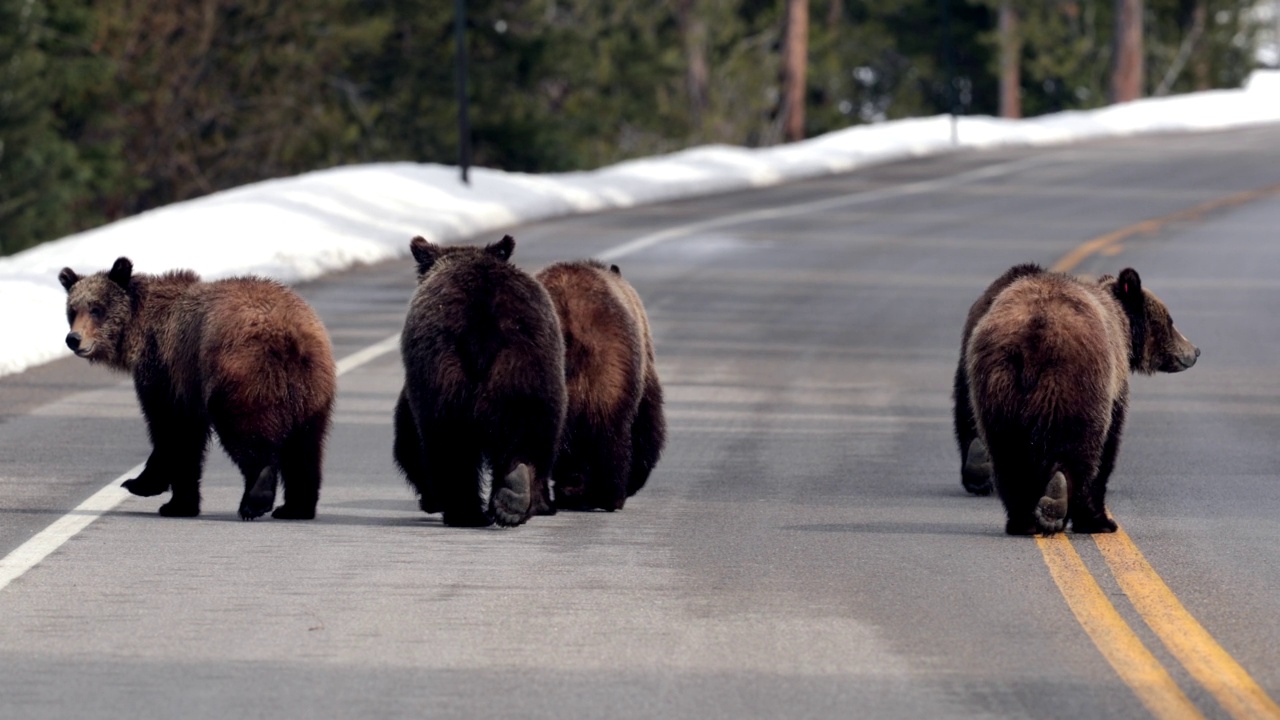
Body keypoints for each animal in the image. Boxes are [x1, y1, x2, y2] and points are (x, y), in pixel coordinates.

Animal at [58, 254, 340, 517]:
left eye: (96, 309)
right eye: (72, 310)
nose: (74, 339)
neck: (141, 330)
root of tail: (289, 335)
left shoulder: (167, 371)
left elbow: (173, 431)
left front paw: (153, 489)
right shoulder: (187, 383)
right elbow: (186, 436)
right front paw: (169, 496)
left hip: (241, 375)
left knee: (247, 432)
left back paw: (255, 499)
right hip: (312, 388)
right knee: (305, 447)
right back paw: (295, 507)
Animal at [391, 235, 568, 527]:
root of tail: (482, 327)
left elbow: (408, 440)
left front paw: (431, 499)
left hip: (444, 373)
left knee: (448, 443)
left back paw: (466, 511)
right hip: (530, 367)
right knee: (534, 432)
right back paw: (515, 495)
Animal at [962, 263, 1198, 532]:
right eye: (1170, 321)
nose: (1195, 351)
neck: (1123, 326)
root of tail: (1034, 336)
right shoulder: (1113, 383)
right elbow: (1109, 443)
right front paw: (1100, 520)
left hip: (997, 385)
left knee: (1007, 452)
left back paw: (1023, 519)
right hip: (1074, 383)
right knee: (1079, 446)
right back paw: (1058, 503)